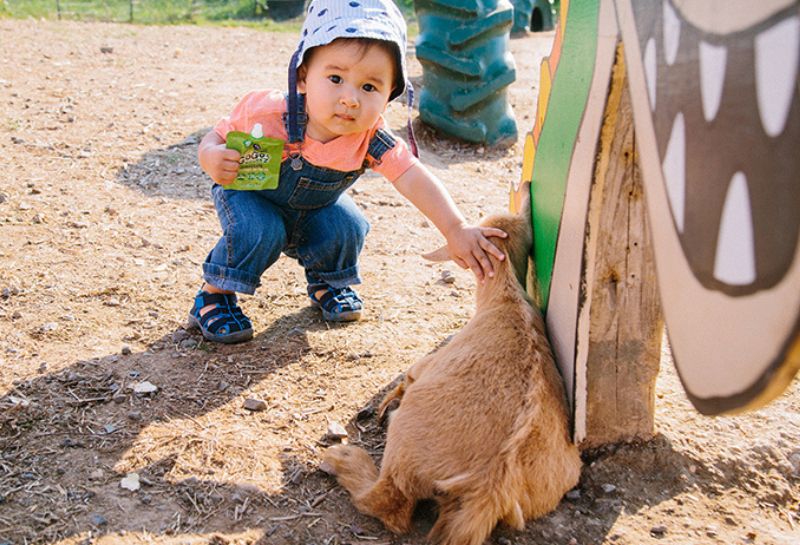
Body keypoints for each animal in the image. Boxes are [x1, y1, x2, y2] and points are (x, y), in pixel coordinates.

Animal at [320, 205, 580, 544]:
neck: (507, 299)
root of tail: (490, 486)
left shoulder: (425, 366)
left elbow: (406, 380)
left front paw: (382, 406)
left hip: (404, 449)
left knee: (387, 504)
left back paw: (343, 458)